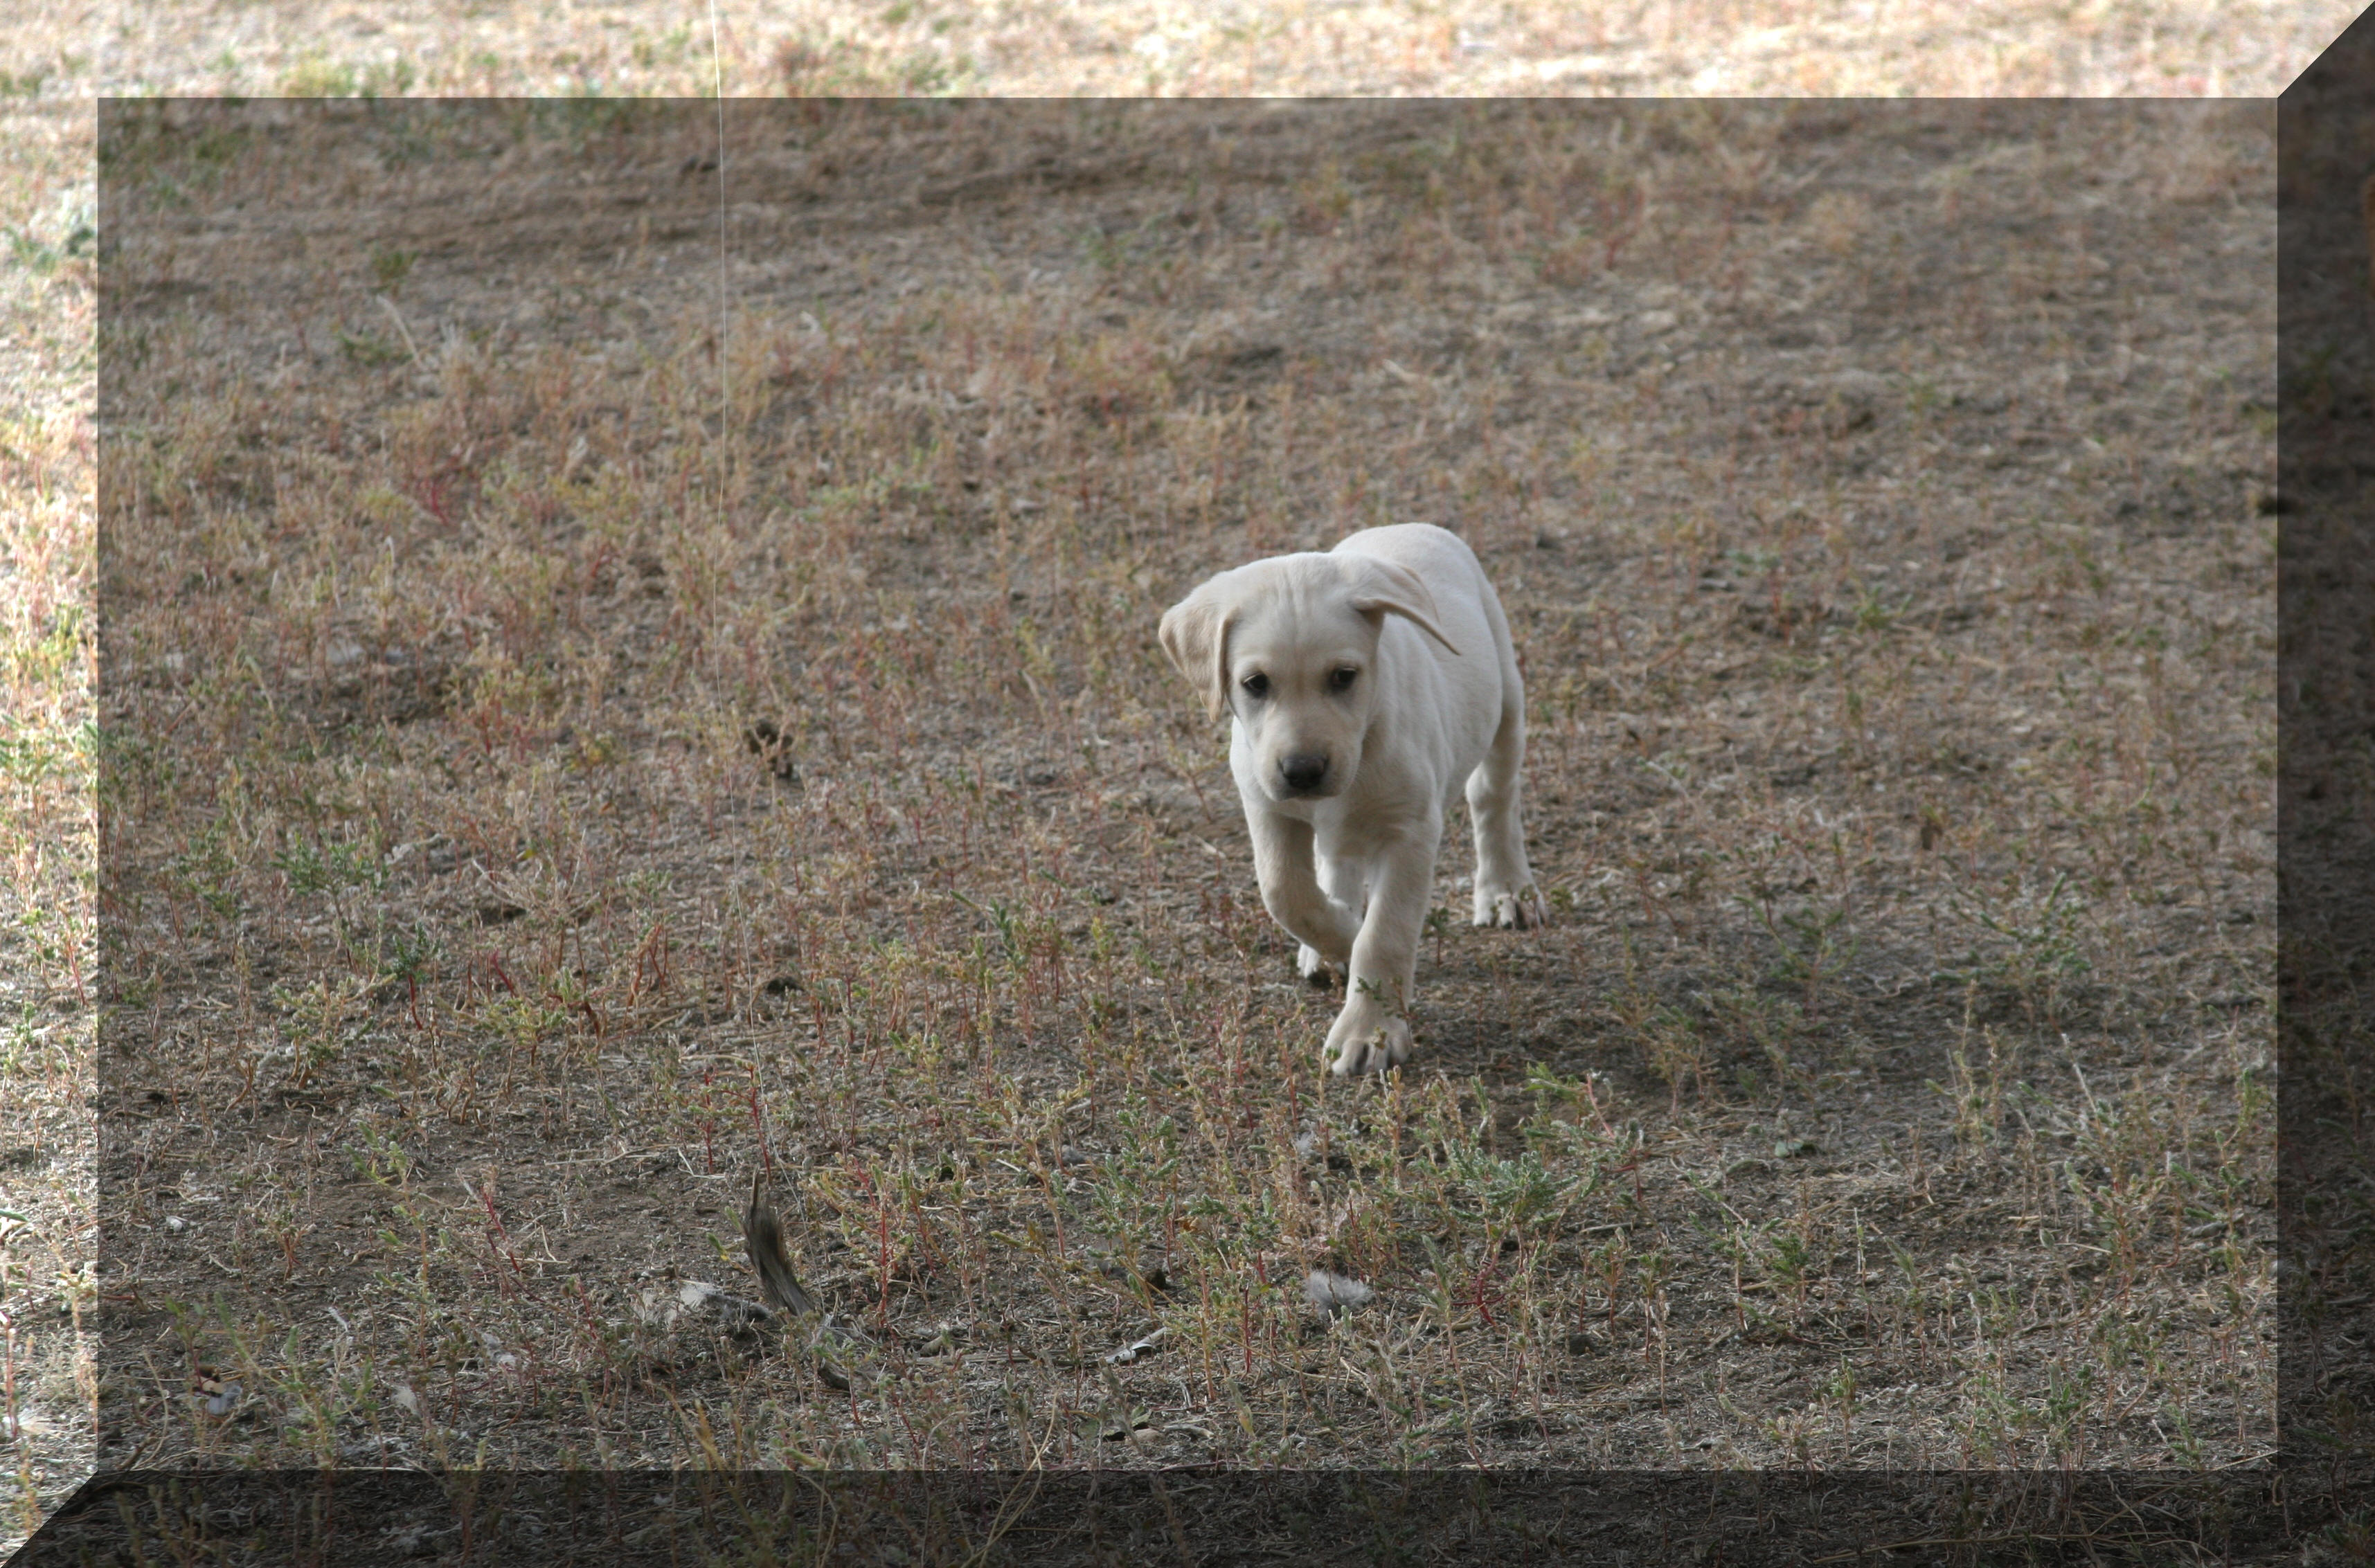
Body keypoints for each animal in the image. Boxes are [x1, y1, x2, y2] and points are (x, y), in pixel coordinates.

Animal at [1158, 527, 1548, 1079]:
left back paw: (1507, 890)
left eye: (1344, 676)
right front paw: (1340, 934)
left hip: (1507, 702)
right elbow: (1288, 894)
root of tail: (1406, 525)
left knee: (1495, 798)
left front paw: (1370, 1029)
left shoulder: (1410, 831)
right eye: (1255, 684)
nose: (1303, 771)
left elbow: (1384, 934)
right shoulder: (1267, 808)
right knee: (1336, 859)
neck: (1367, 735)